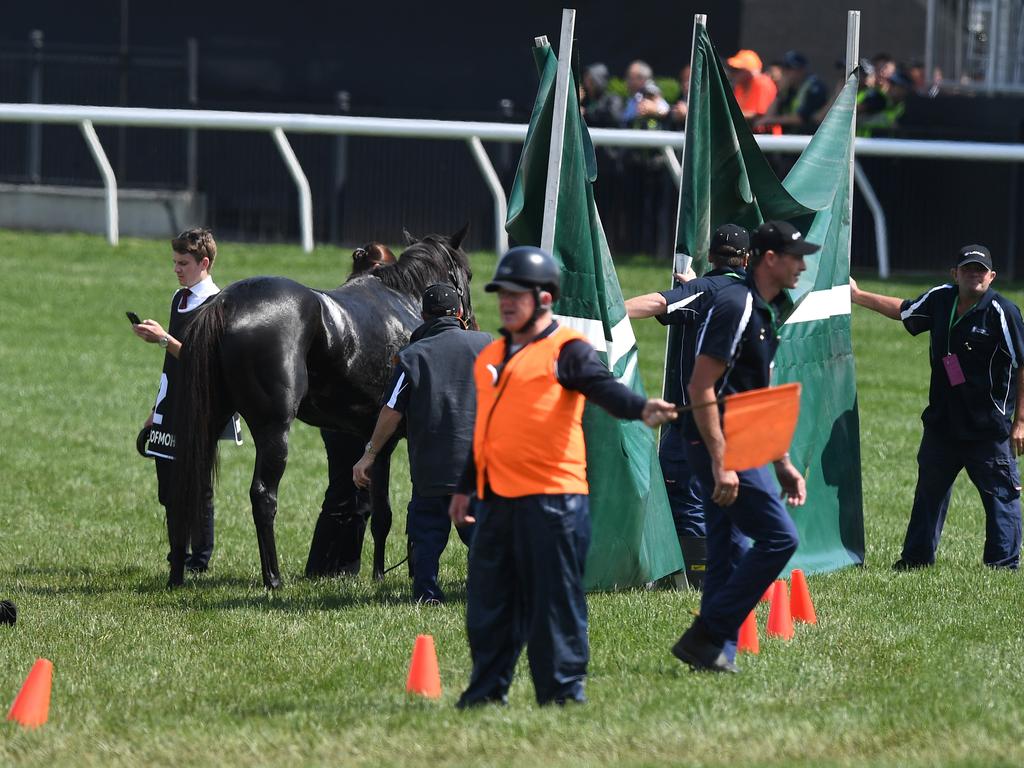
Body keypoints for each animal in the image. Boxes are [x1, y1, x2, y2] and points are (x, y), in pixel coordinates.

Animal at [173, 228, 475, 589]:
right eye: (469, 274)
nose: (471, 322)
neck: (403, 300)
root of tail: (225, 303)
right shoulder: (392, 439)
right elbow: (395, 512)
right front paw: (389, 574)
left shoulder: (371, 439)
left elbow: (379, 512)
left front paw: (379, 573)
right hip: (273, 429)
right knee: (263, 496)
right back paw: (273, 578)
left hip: (208, 423)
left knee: (190, 485)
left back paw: (177, 574)